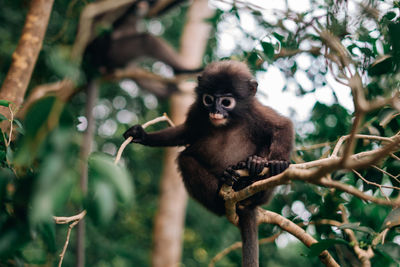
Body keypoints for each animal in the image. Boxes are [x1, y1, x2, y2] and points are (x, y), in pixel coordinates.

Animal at [123, 60, 296, 267]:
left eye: (226, 102)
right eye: (208, 99)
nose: (215, 111)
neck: (229, 122)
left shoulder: (255, 111)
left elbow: (282, 126)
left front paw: (277, 161)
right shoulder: (197, 110)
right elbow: (186, 133)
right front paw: (142, 135)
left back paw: (253, 168)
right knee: (185, 159)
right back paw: (225, 186)